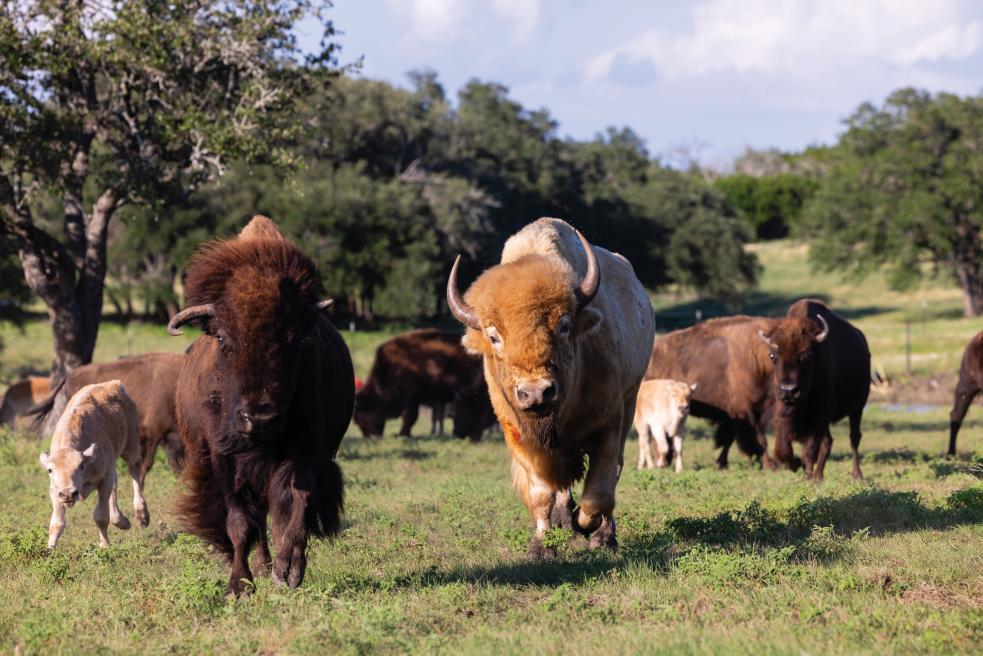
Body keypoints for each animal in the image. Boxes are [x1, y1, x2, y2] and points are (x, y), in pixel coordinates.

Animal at [168, 216, 354, 596]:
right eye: (222, 337)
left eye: (294, 339)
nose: (259, 417)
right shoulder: (224, 459)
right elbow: (240, 522)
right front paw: (239, 585)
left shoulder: (306, 453)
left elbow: (297, 506)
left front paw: (289, 571)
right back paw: (261, 565)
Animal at [447, 218, 654, 555]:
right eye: (493, 336)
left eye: (564, 325)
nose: (536, 393)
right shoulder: (520, 438)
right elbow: (541, 493)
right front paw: (542, 545)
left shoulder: (609, 424)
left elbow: (598, 490)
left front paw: (591, 529)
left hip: (631, 399)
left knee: (613, 473)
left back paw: (600, 532)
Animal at [760, 299, 870, 481]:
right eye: (772, 355)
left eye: (806, 355)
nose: (789, 390)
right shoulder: (784, 413)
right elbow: (783, 448)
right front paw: (798, 467)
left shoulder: (820, 414)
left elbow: (811, 449)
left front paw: (808, 477)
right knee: (828, 442)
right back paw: (818, 476)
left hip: (858, 407)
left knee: (854, 438)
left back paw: (856, 474)